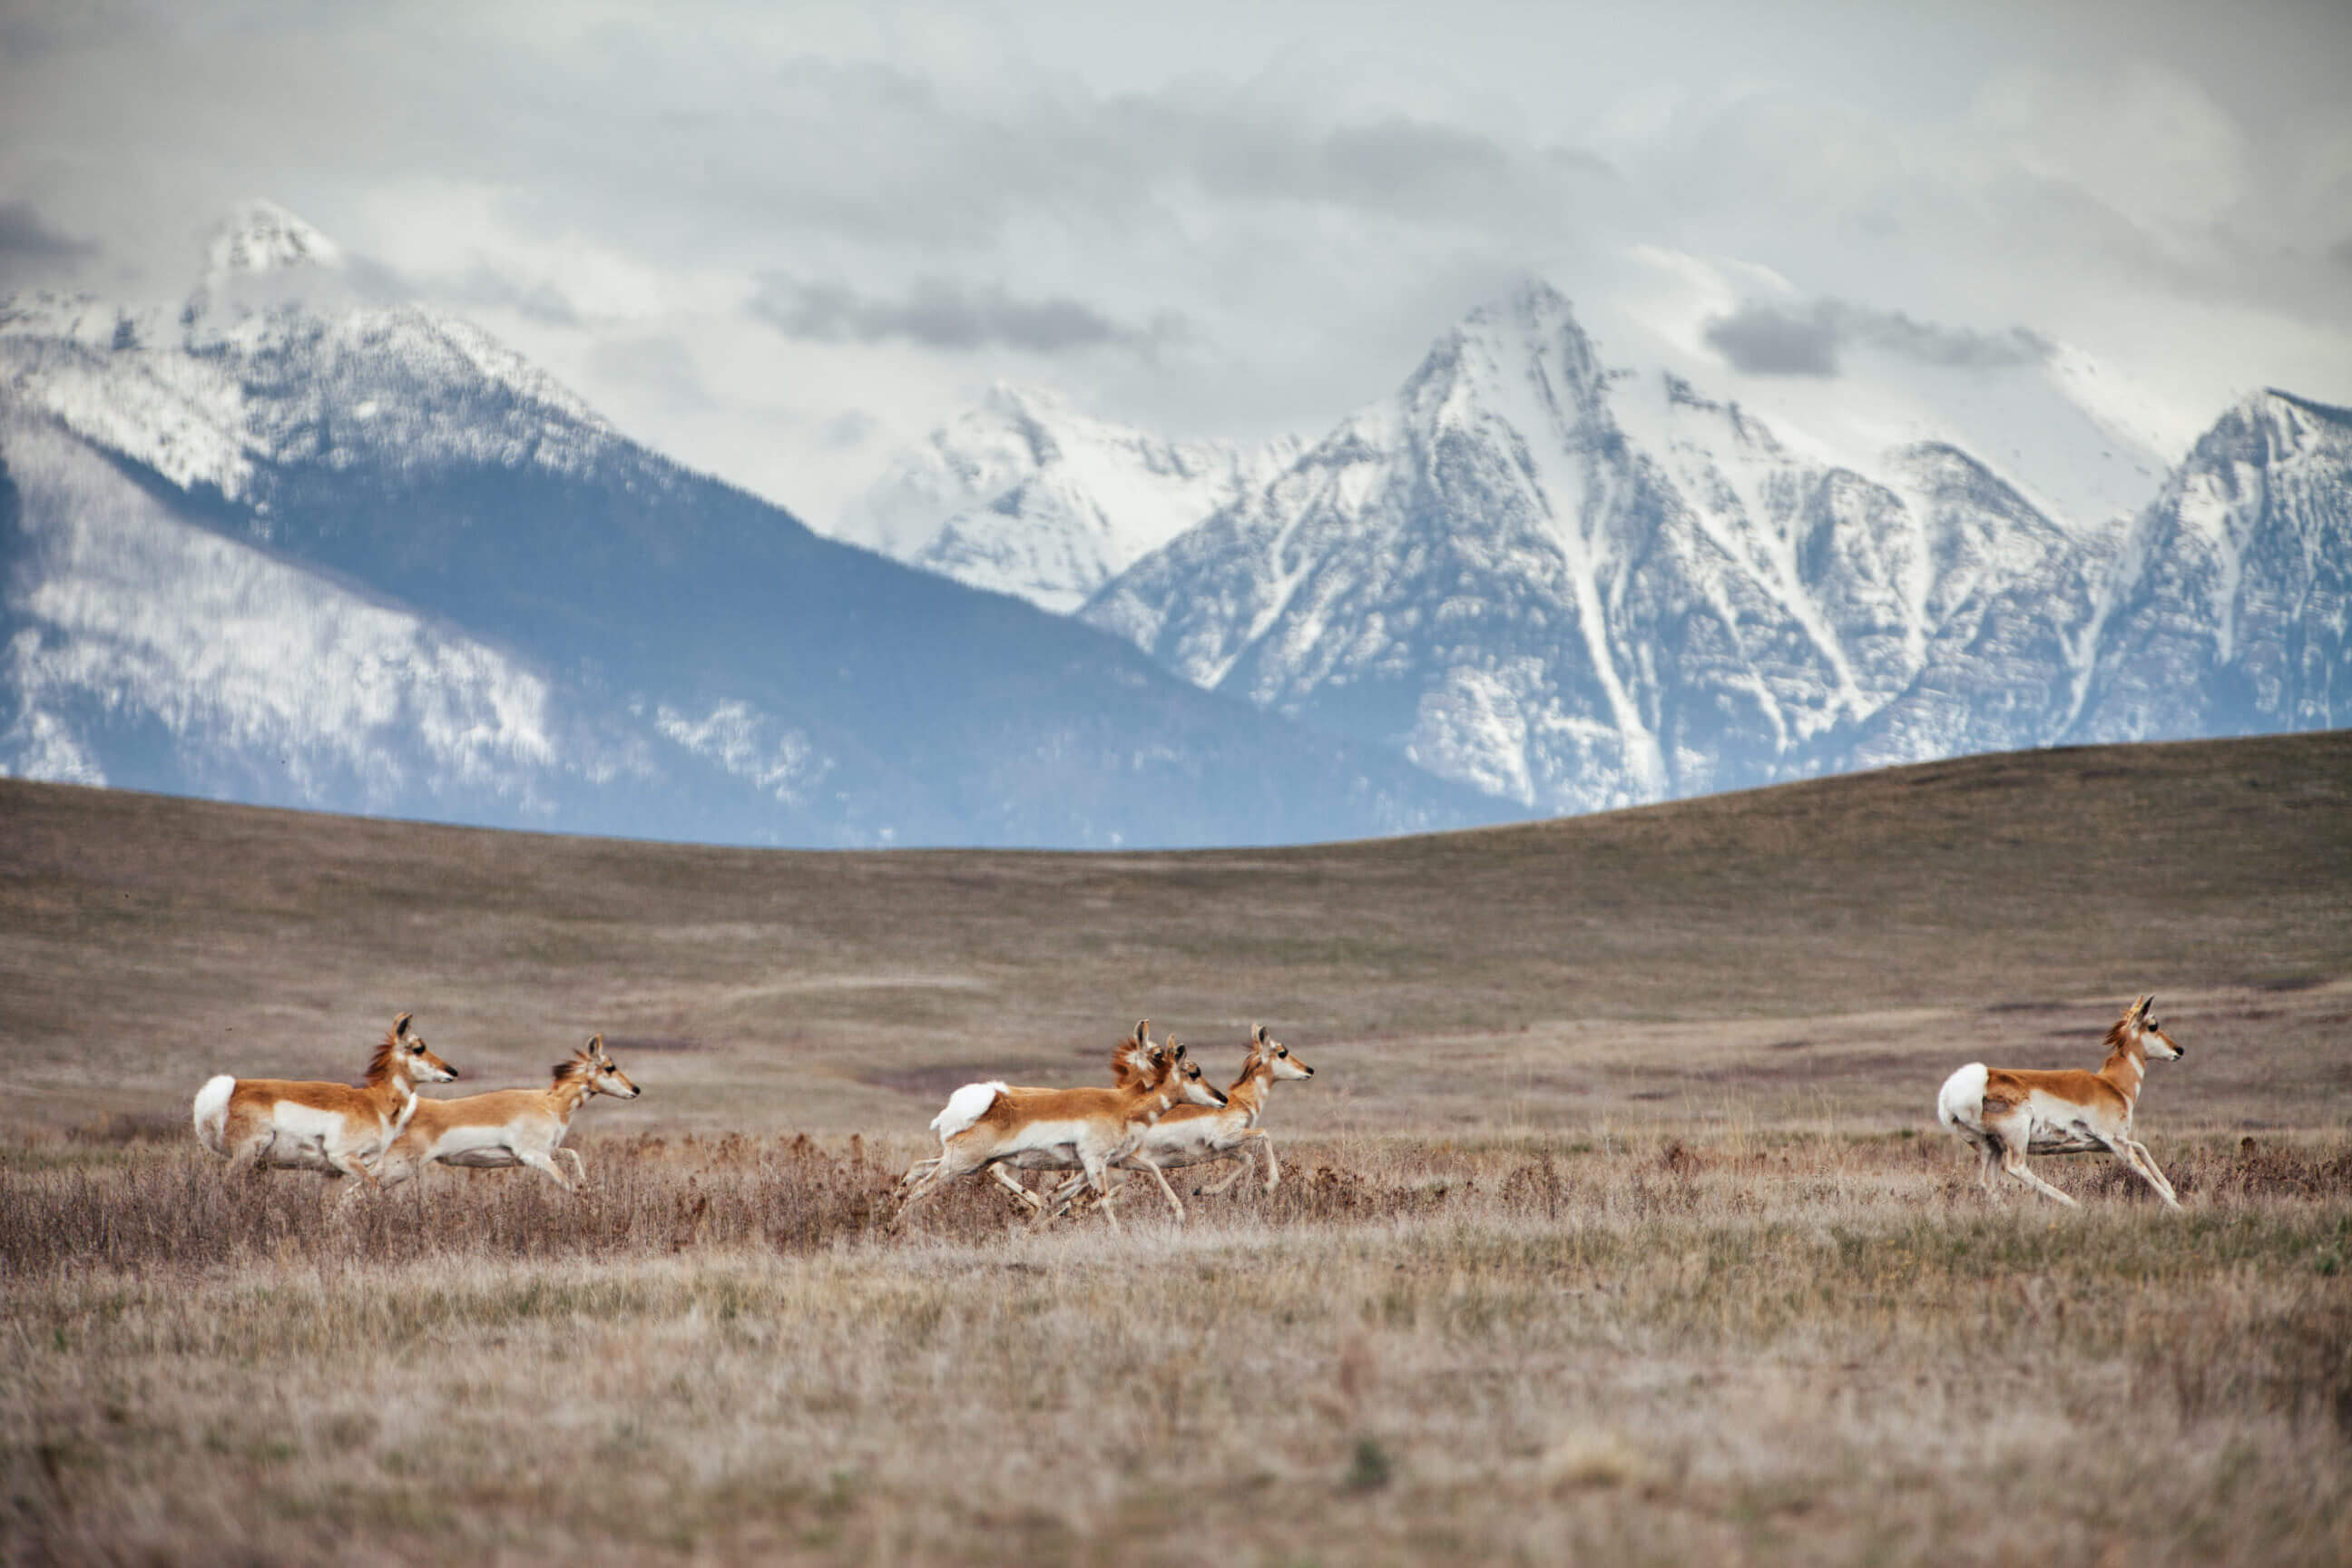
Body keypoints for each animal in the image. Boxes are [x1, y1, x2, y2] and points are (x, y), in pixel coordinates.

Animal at [191, 1020, 458, 1189]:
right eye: (419, 1048)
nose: (452, 1071)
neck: (374, 1101)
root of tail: (233, 1087)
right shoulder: (345, 1158)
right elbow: (373, 1187)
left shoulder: (331, 1173)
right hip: (247, 1154)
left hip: (257, 1164)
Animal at [380, 1034, 649, 1194]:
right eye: (610, 1067)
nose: (636, 1089)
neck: (549, 1103)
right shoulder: (535, 1156)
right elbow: (567, 1183)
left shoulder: (547, 1151)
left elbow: (573, 1154)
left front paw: (585, 1184)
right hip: (398, 1167)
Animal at [898, 1024, 1232, 1231]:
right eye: (1194, 1071)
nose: (1223, 1098)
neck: (1121, 1103)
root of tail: (987, 1101)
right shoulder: (1095, 1163)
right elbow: (1103, 1200)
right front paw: (1117, 1236)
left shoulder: (1116, 1159)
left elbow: (1152, 1170)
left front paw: (1179, 1215)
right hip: (962, 1163)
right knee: (920, 1188)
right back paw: (896, 1226)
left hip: (968, 1162)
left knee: (916, 1173)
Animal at [1054, 1024, 1326, 1222]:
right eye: (1282, 1052)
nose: (1310, 1070)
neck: (1239, 1100)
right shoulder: (1225, 1139)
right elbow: (1263, 1135)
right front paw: (1269, 1185)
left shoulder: (1220, 1150)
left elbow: (1247, 1159)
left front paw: (1207, 1190)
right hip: (1114, 1174)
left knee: (1065, 1195)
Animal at [1947, 992, 2182, 1212]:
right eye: (2153, 1025)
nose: (2179, 1050)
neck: (2111, 1084)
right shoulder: (2116, 1141)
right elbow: (2141, 1168)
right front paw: (2177, 1206)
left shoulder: (2102, 1143)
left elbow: (2141, 1147)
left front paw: (2171, 1191)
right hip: (2016, 1139)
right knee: (2016, 1168)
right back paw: (2074, 1203)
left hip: (1990, 1147)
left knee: (1988, 1182)